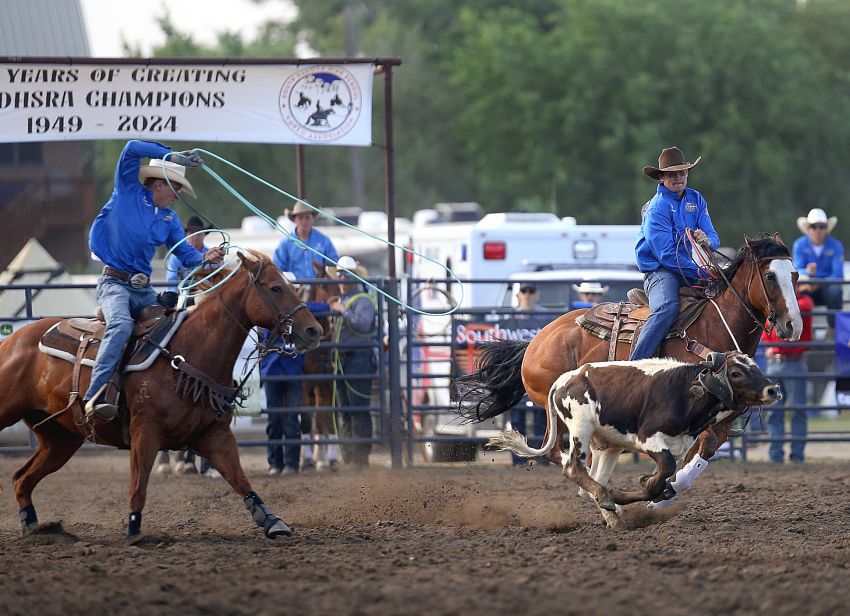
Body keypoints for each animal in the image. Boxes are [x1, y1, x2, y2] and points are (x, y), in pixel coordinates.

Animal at [0, 250, 322, 540]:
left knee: (21, 479)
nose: (314, 330)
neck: (188, 353)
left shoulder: (216, 435)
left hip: (60, 439)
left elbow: (241, 479)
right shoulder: (145, 432)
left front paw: (272, 521)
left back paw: (34, 529)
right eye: (276, 287)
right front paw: (134, 531)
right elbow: (139, 485)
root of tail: (14, 339)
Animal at [454, 233, 800, 502]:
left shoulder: (722, 417)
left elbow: (702, 451)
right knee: (555, 451)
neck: (713, 326)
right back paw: (591, 485)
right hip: (558, 409)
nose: (792, 325)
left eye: (795, 275)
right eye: (771, 276)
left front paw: (665, 489)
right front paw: (655, 487)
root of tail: (536, 340)